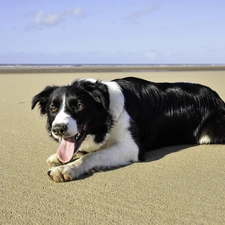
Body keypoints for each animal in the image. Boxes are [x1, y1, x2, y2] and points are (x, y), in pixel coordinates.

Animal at [31, 76, 225, 182]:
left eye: (78, 105)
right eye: (53, 108)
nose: (58, 129)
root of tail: (218, 98)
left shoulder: (131, 147)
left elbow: (92, 155)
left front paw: (66, 169)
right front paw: (57, 157)